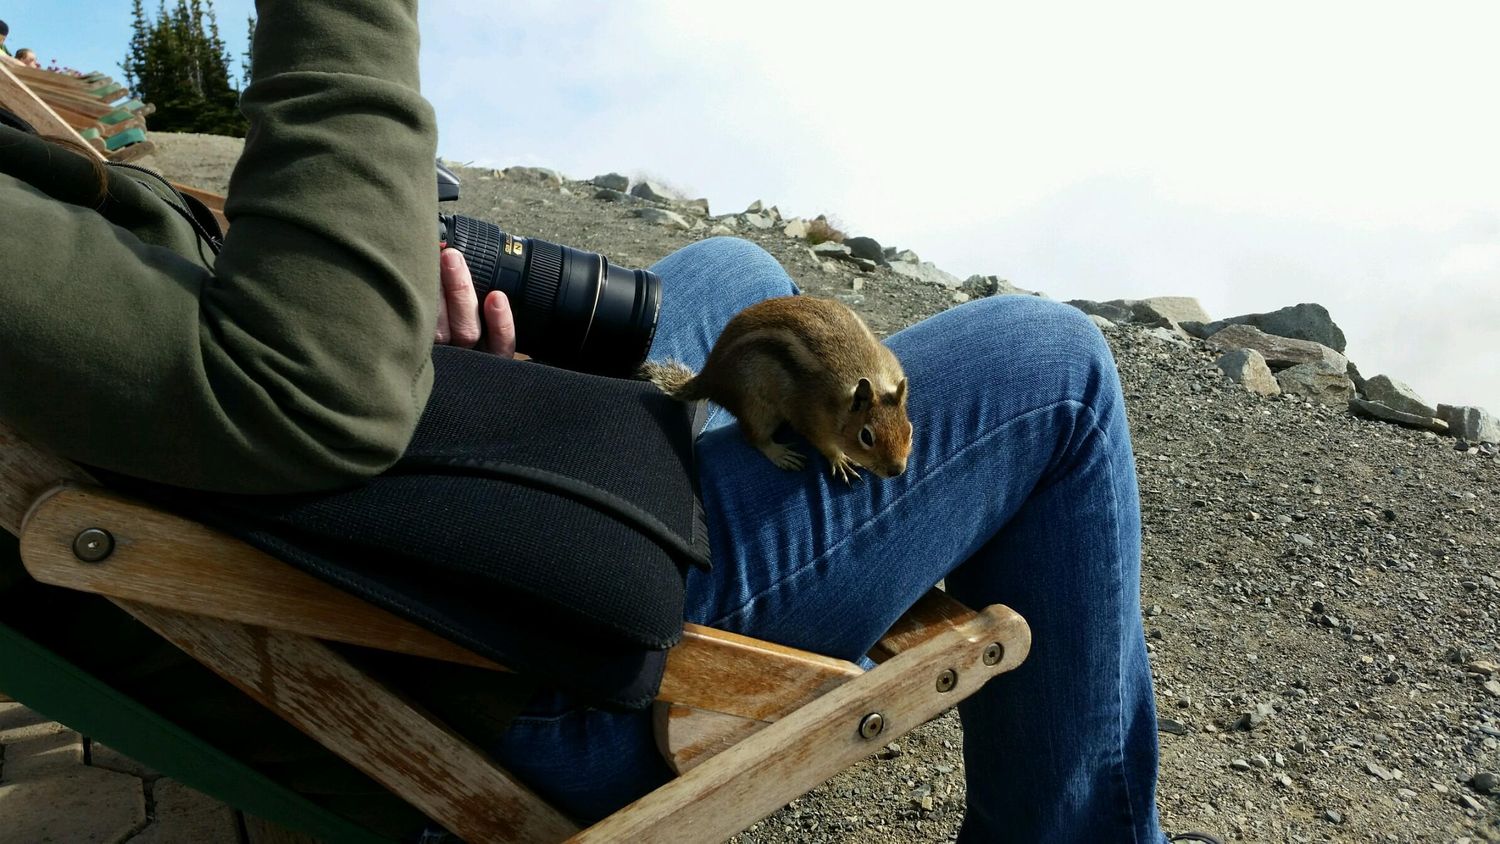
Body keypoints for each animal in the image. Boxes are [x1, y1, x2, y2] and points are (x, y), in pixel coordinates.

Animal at [641, 295, 912, 483]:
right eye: (866, 436)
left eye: (909, 430)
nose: (897, 470)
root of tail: (710, 376)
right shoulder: (807, 415)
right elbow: (821, 442)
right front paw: (839, 459)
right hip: (755, 406)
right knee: (753, 437)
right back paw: (779, 454)